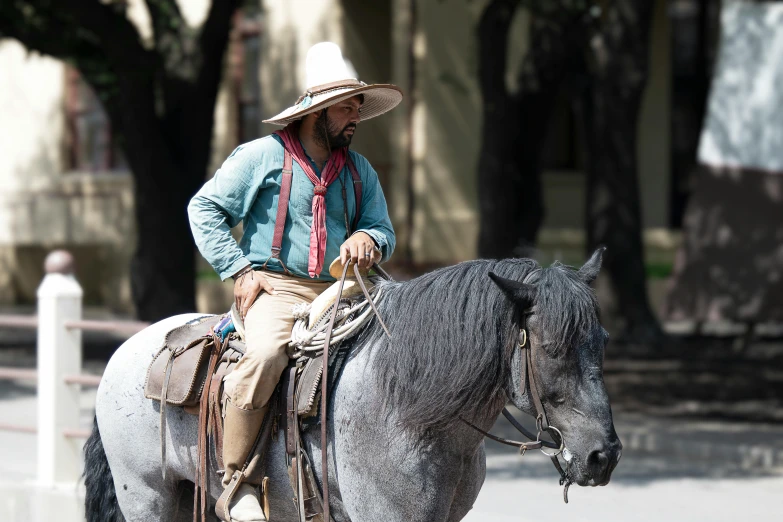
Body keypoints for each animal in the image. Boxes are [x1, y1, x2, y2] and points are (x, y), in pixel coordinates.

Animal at [82, 250, 620, 516]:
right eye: (552, 349)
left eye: (603, 340)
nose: (603, 455)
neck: (407, 407)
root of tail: (129, 349)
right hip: (147, 496)